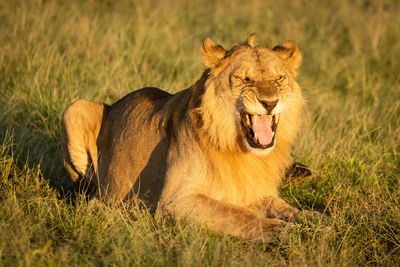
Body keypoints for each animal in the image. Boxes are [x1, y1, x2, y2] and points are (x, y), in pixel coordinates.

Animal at [61, 34, 316, 242]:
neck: (239, 149)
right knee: (87, 194)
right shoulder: (176, 201)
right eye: (244, 79)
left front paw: (312, 219)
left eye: (280, 78)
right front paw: (280, 229)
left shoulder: (253, 191)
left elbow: (282, 206)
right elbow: (237, 214)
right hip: (75, 109)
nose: (270, 102)